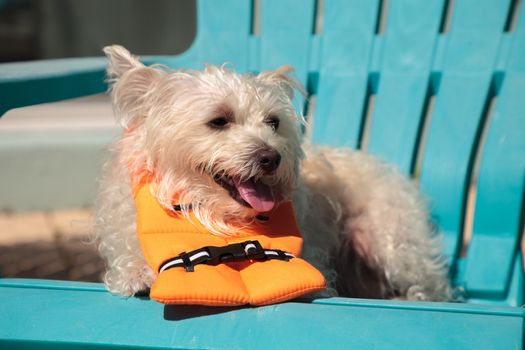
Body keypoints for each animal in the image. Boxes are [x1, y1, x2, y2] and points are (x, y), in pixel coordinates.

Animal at [92, 45, 452, 302]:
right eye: (219, 120)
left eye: (273, 122)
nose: (271, 157)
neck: (216, 216)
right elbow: (127, 254)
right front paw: (137, 273)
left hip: (395, 244)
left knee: (432, 284)